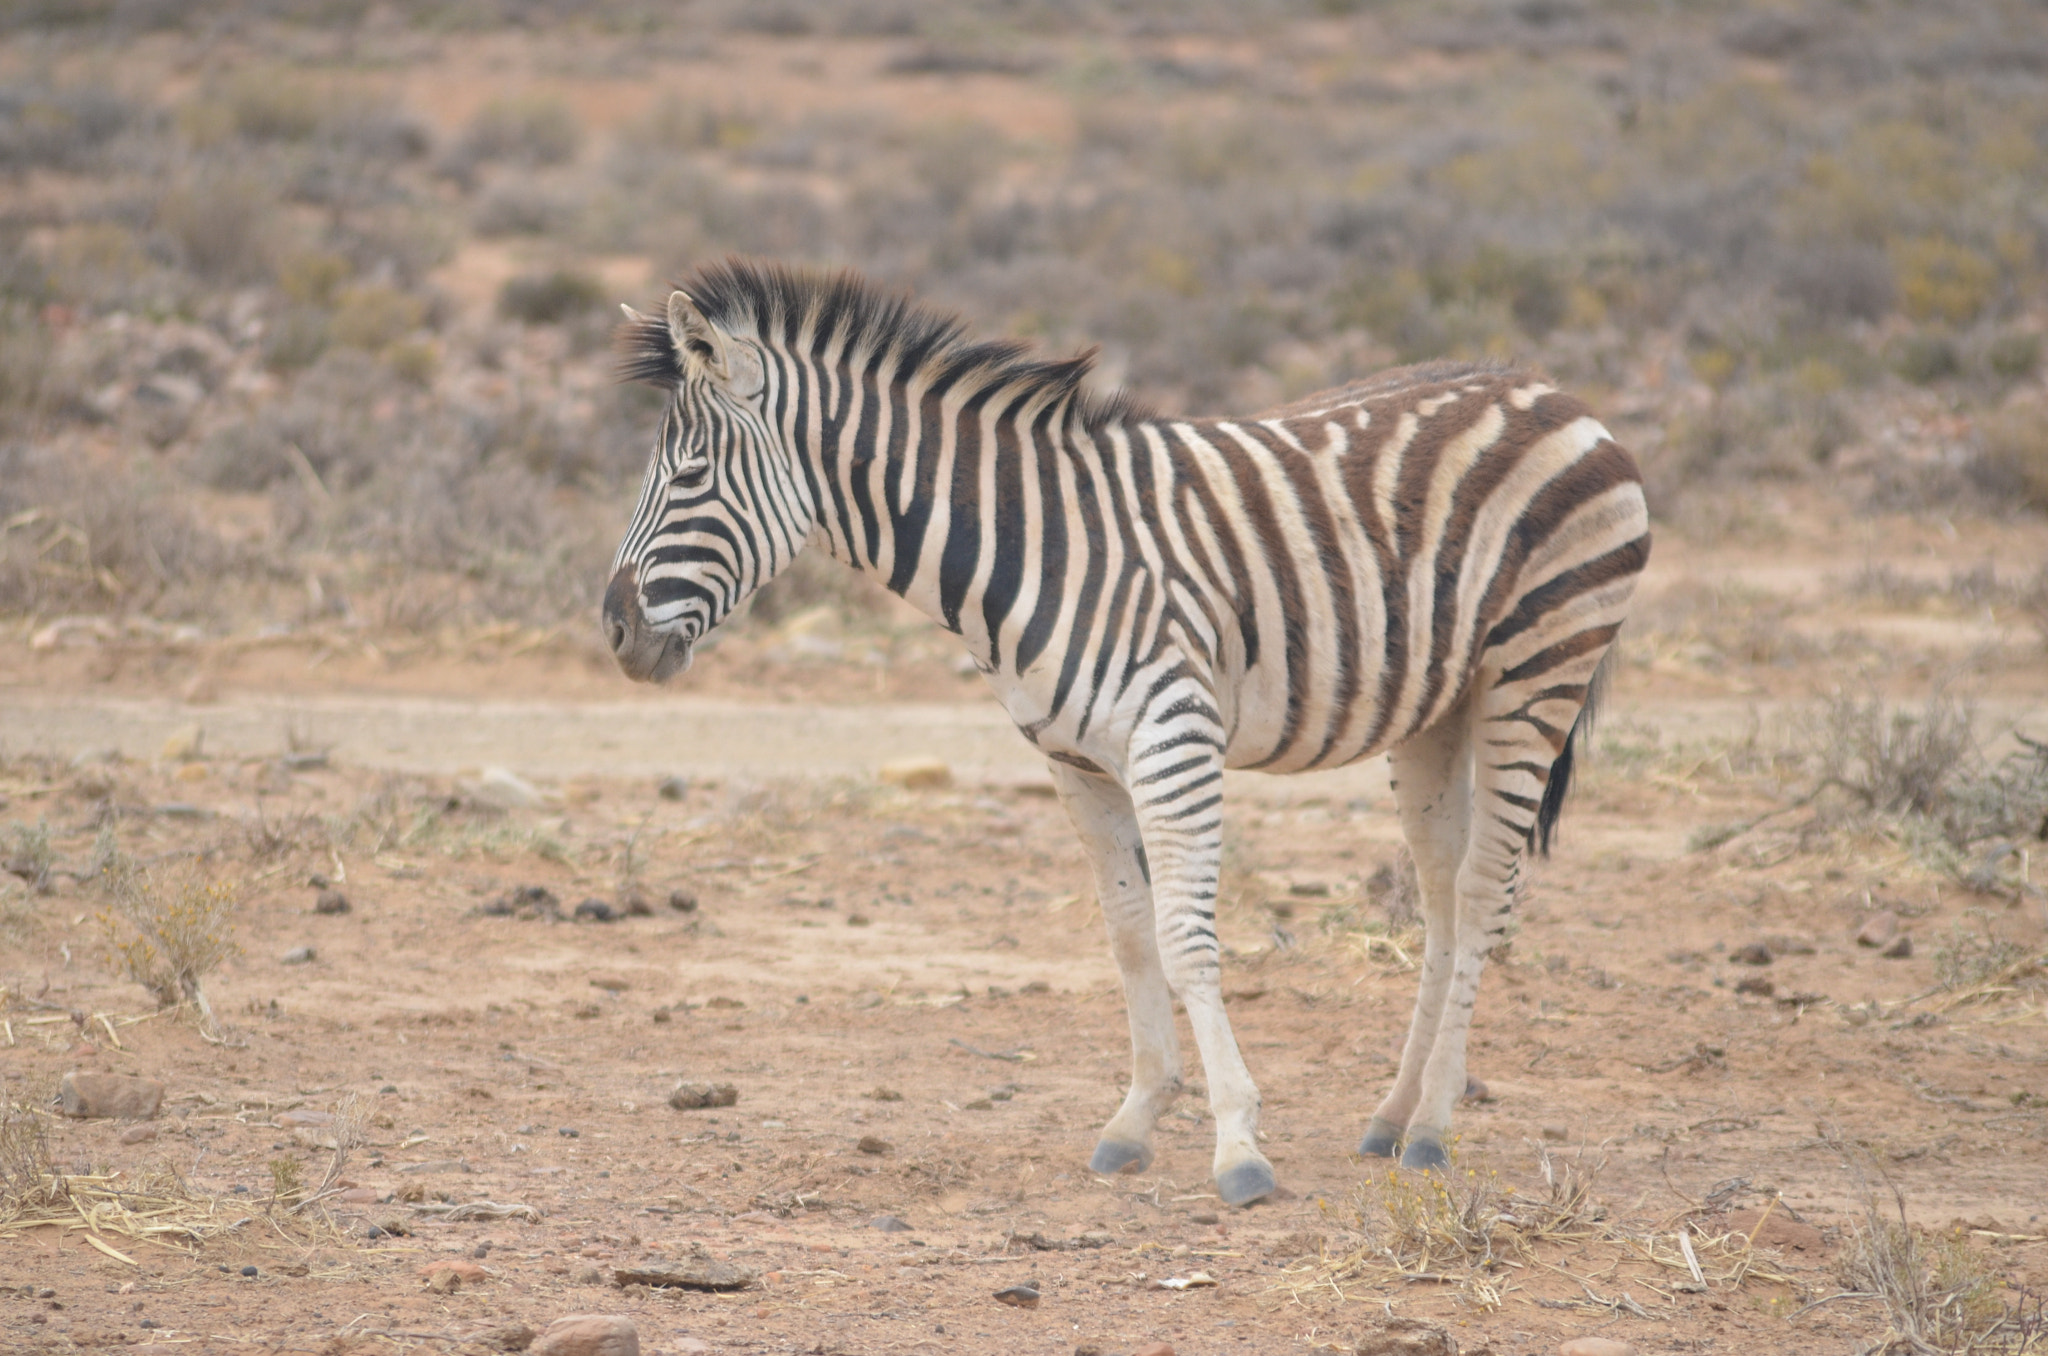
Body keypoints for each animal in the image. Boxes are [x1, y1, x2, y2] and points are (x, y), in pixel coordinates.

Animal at [598, 260, 1646, 1204]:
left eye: (688, 474)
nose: (612, 630)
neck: (1029, 548)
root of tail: (1548, 387)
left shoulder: (1172, 735)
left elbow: (1185, 938)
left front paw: (1238, 1147)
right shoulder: (1076, 761)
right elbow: (1130, 933)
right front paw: (1136, 1121)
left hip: (1534, 670)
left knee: (1482, 891)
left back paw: (1431, 1128)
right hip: (1437, 705)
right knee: (1437, 898)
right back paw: (1391, 1118)